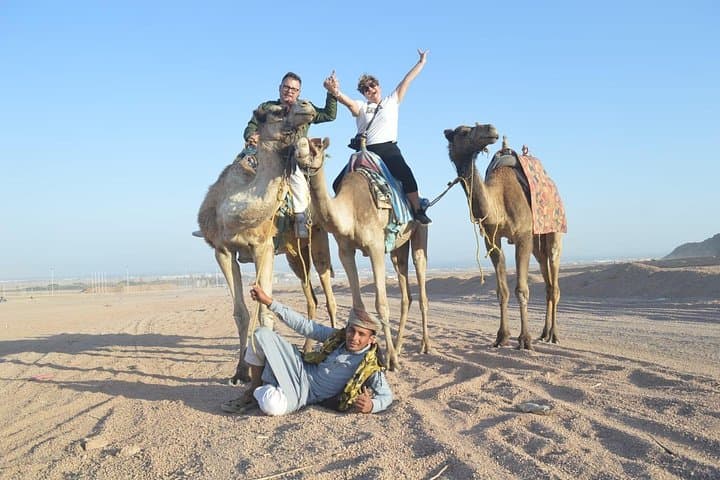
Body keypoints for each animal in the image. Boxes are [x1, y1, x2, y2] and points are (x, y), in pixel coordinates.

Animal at [197, 100, 336, 384]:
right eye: (277, 111)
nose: (307, 105)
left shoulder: (264, 247)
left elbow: (265, 311)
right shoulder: (222, 250)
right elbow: (241, 313)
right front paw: (240, 372)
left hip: (318, 238)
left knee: (329, 295)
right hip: (295, 255)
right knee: (312, 298)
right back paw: (307, 349)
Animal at [294, 137, 430, 371]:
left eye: (317, 146)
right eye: (295, 145)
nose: (300, 153)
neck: (350, 210)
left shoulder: (375, 247)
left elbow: (381, 305)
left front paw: (390, 360)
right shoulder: (345, 251)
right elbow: (358, 304)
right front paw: (385, 354)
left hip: (419, 234)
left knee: (421, 284)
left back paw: (425, 346)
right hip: (398, 249)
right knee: (405, 291)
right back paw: (399, 347)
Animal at [444, 124, 564, 349]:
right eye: (463, 132)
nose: (490, 129)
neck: (498, 202)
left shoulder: (522, 236)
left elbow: (522, 290)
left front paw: (524, 339)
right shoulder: (492, 239)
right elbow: (502, 291)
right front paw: (502, 336)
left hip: (555, 231)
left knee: (554, 281)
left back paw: (554, 334)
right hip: (537, 243)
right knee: (547, 279)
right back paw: (544, 333)